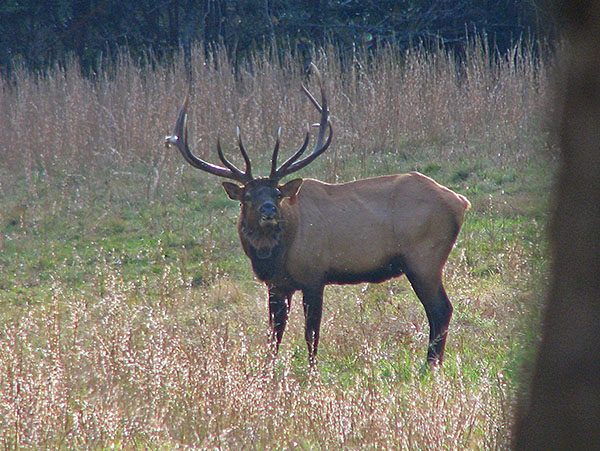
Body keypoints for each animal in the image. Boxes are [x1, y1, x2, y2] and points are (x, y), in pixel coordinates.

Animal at [166, 66, 472, 368]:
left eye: (276, 193)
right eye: (248, 197)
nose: (269, 211)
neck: (277, 254)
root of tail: (460, 201)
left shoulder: (314, 274)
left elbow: (311, 333)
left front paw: (312, 371)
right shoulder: (277, 285)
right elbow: (274, 335)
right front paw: (270, 372)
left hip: (424, 257)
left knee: (440, 309)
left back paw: (430, 365)